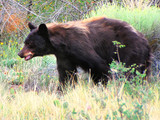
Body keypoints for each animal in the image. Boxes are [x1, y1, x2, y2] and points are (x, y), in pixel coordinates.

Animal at [17, 16, 151, 89]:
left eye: (30, 43)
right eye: (25, 42)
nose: (19, 53)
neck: (63, 44)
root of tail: (144, 38)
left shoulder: (81, 47)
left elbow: (99, 66)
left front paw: (101, 86)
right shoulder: (64, 56)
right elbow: (66, 74)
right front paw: (63, 89)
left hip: (130, 49)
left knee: (132, 70)